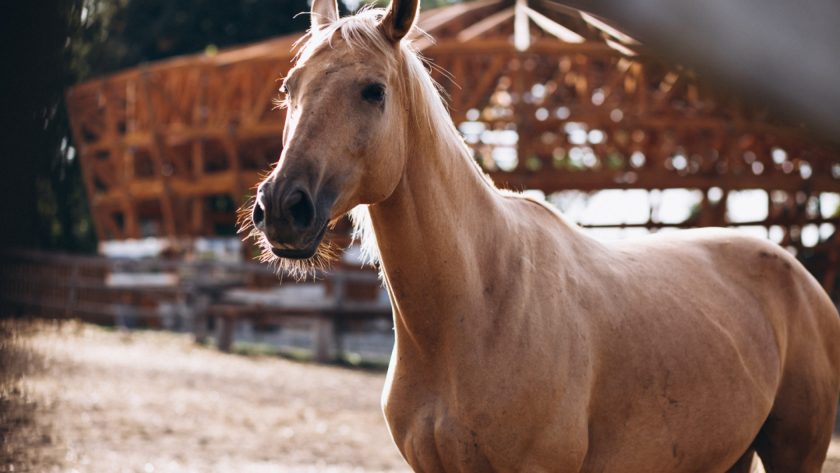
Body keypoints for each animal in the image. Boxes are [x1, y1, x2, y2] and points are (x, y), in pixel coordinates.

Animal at [243, 1, 840, 470]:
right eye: (289, 88)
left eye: (373, 91)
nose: (283, 208)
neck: (476, 304)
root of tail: (801, 277)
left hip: (795, 453)